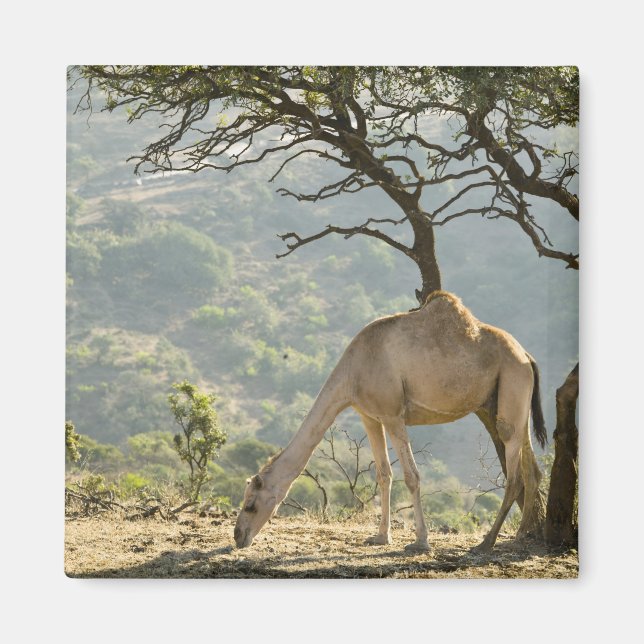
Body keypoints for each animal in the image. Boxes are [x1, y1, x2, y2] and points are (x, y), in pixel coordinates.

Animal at [234, 290, 547, 553]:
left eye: (250, 504)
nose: (238, 536)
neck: (352, 373)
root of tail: (527, 356)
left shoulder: (393, 414)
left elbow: (412, 476)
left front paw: (420, 542)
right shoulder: (370, 417)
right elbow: (384, 475)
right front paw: (380, 536)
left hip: (511, 384)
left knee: (514, 473)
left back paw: (487, 542)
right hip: (509, 401)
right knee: (532, 469)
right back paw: (519, 537)